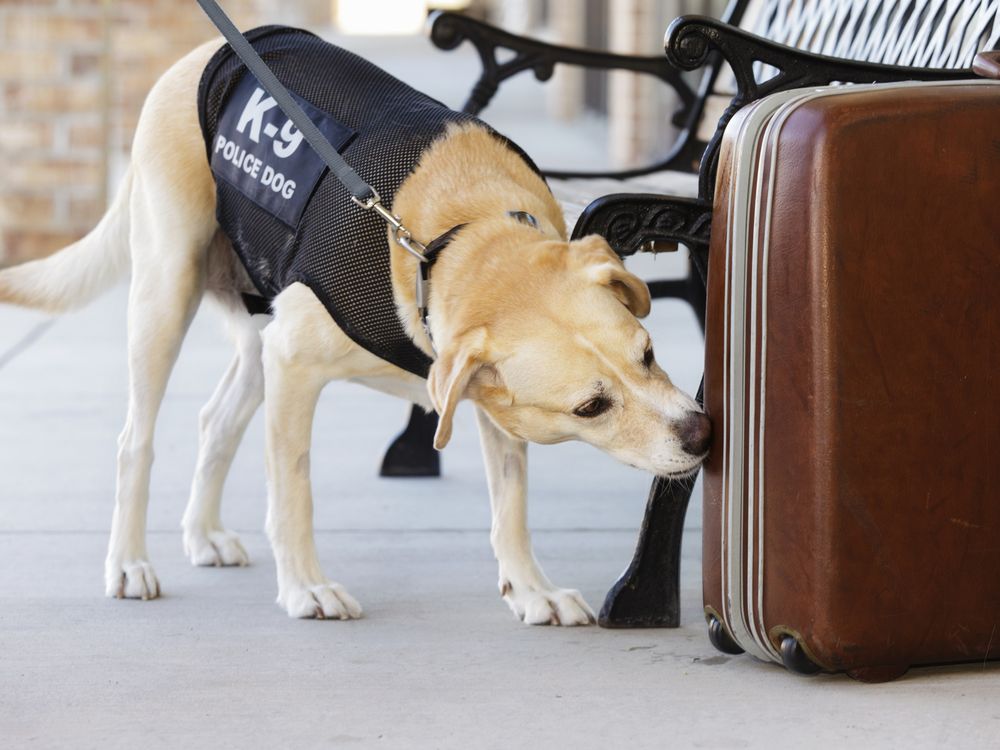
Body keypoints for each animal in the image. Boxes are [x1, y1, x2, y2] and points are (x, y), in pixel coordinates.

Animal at [0, 35, 712, 624]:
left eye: (649, 353)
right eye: (591, 407)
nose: (704, 435)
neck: (450, 241)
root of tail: (196, 55)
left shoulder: (489, 404)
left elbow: (512, 506)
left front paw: (530, 590)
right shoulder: (294, 365)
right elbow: (294, 489)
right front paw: (305, 588)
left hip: (256, 338)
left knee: (215, 420)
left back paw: (202, 535)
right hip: (167, 293)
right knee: (135, 441)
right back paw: (128, 563)